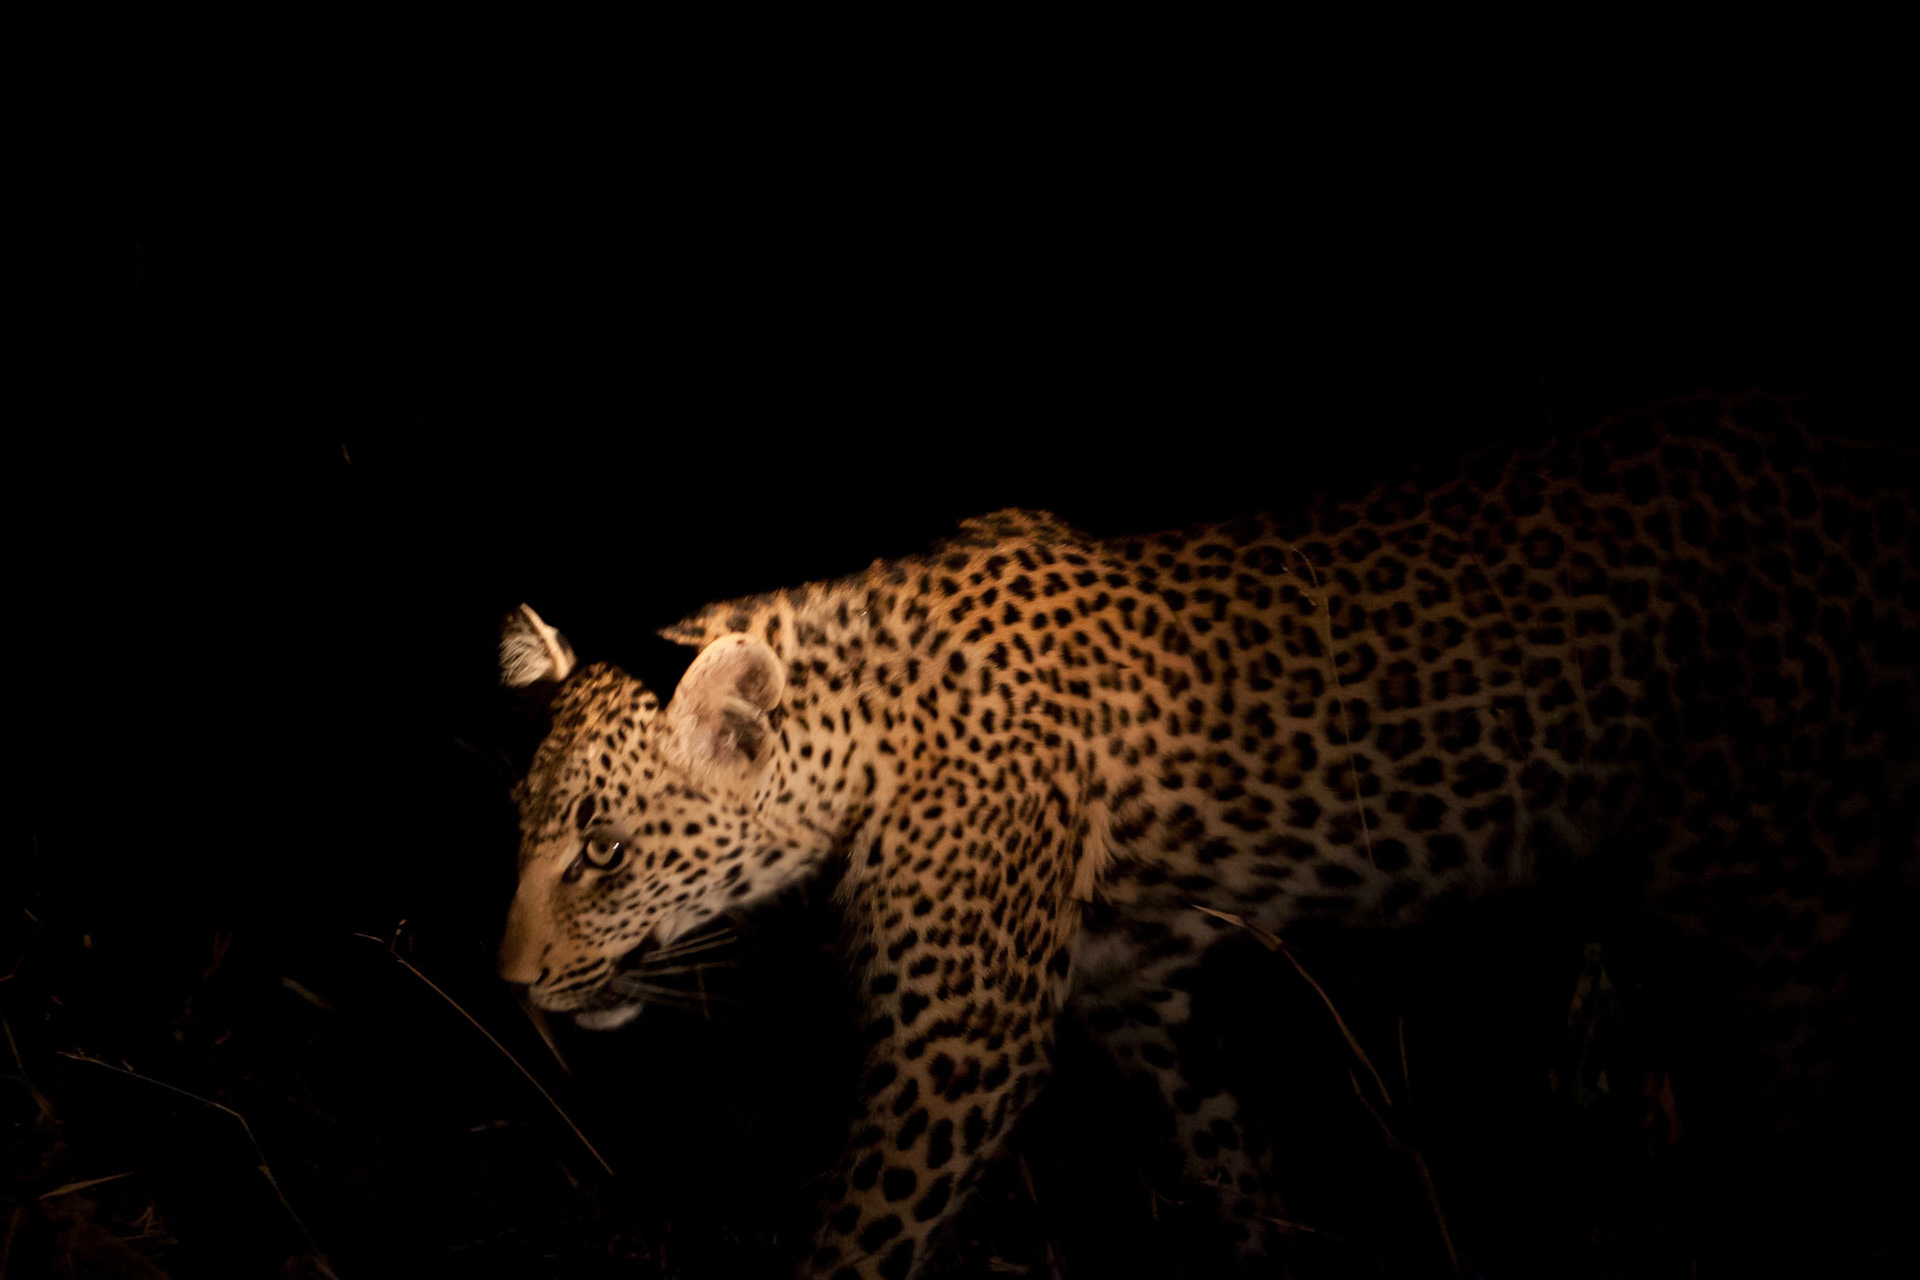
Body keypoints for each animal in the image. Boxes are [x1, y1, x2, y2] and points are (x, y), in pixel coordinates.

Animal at [495, 389, 1917, 1279]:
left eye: (602, 848)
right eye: (528, 828)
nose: (509, 983)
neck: (865, 726)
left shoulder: (964, 1043)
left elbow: (858, 1244)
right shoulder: (1137, 987)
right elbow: (1232, 1159)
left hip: (1769, 892)